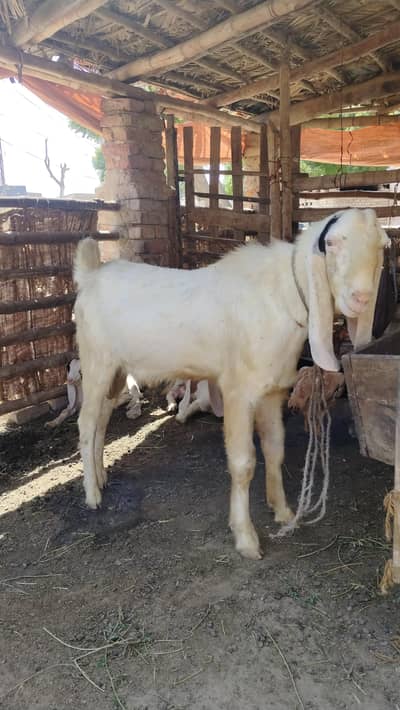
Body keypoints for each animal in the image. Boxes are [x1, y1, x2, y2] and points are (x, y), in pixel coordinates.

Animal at [74, 208, 388, 560]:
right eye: (331, 243)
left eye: (382, 246)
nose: (361, 298)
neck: (280, 296)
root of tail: (90, 275)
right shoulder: (239, 392)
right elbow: (243, 462)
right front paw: (246, 537)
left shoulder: (273, 391)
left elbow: (275, 449)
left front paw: (283, 511)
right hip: (95, 361)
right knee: (86, 423)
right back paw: (92, 495)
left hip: (115, 371)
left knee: (101, 420)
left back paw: (101, 476)